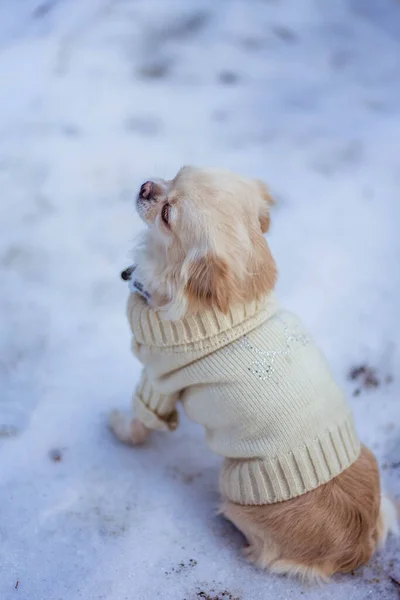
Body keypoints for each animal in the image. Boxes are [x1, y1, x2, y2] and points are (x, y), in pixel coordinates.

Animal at [109, 165, 396, 580]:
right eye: (175, 173)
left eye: (167, 214)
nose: (146, 186)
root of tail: (356, 549)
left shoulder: (158, 382)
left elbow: (140, 421)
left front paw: (119, 428)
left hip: (235, 484)